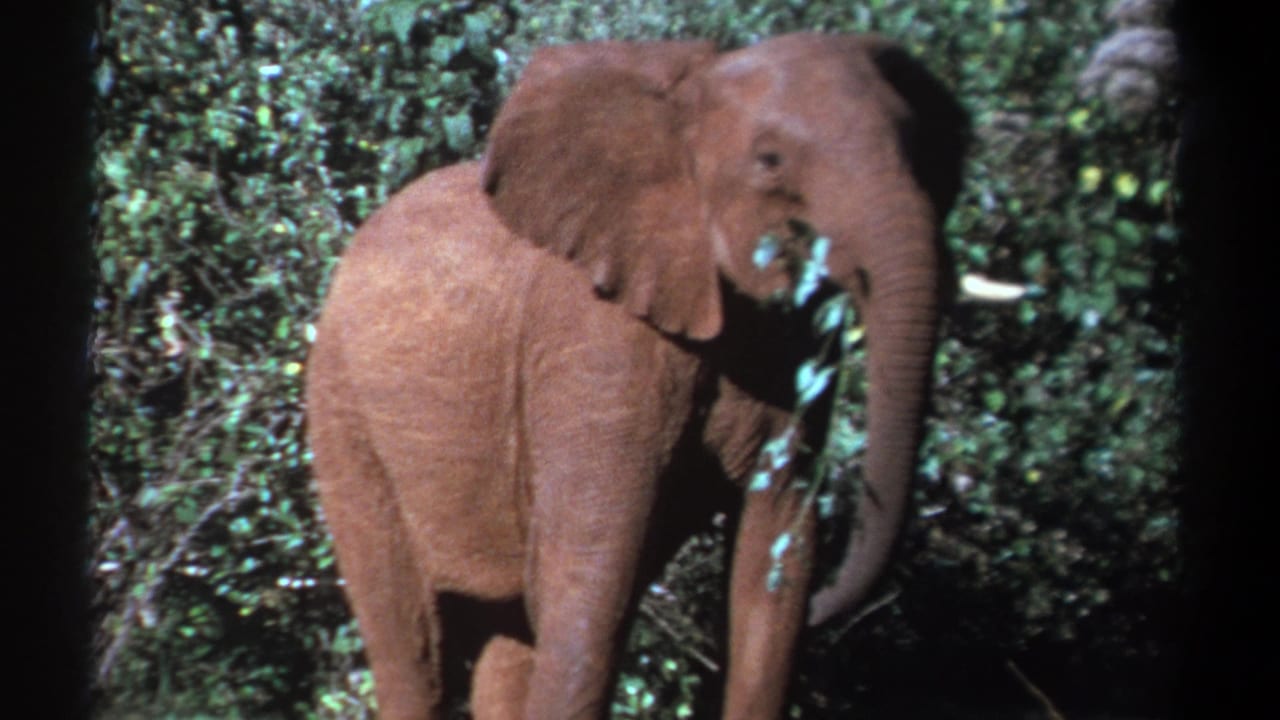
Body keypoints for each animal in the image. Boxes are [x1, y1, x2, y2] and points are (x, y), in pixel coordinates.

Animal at [305, 32, 968, 720]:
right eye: (770, 161)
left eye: (921, 151)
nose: (833, 610)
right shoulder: (595, 336)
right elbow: (594, 578)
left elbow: (776, 555)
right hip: (342, 412)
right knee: (413, 645)